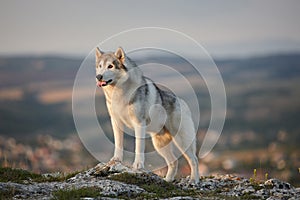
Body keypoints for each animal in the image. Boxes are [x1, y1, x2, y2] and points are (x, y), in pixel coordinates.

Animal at [95, 47, 199, 183]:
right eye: (100, 66)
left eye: (110, 66)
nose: (98, 76)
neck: (119, 93)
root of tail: (181, 101)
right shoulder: (116, 122)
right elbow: (118, 144)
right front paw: (115, 160)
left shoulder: (139, 124)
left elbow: (138, 147)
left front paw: (137, 166)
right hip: (159, 144)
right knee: (173, 162)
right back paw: (167, 181)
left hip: (182, 142)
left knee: (194, 160)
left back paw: (194, 181)